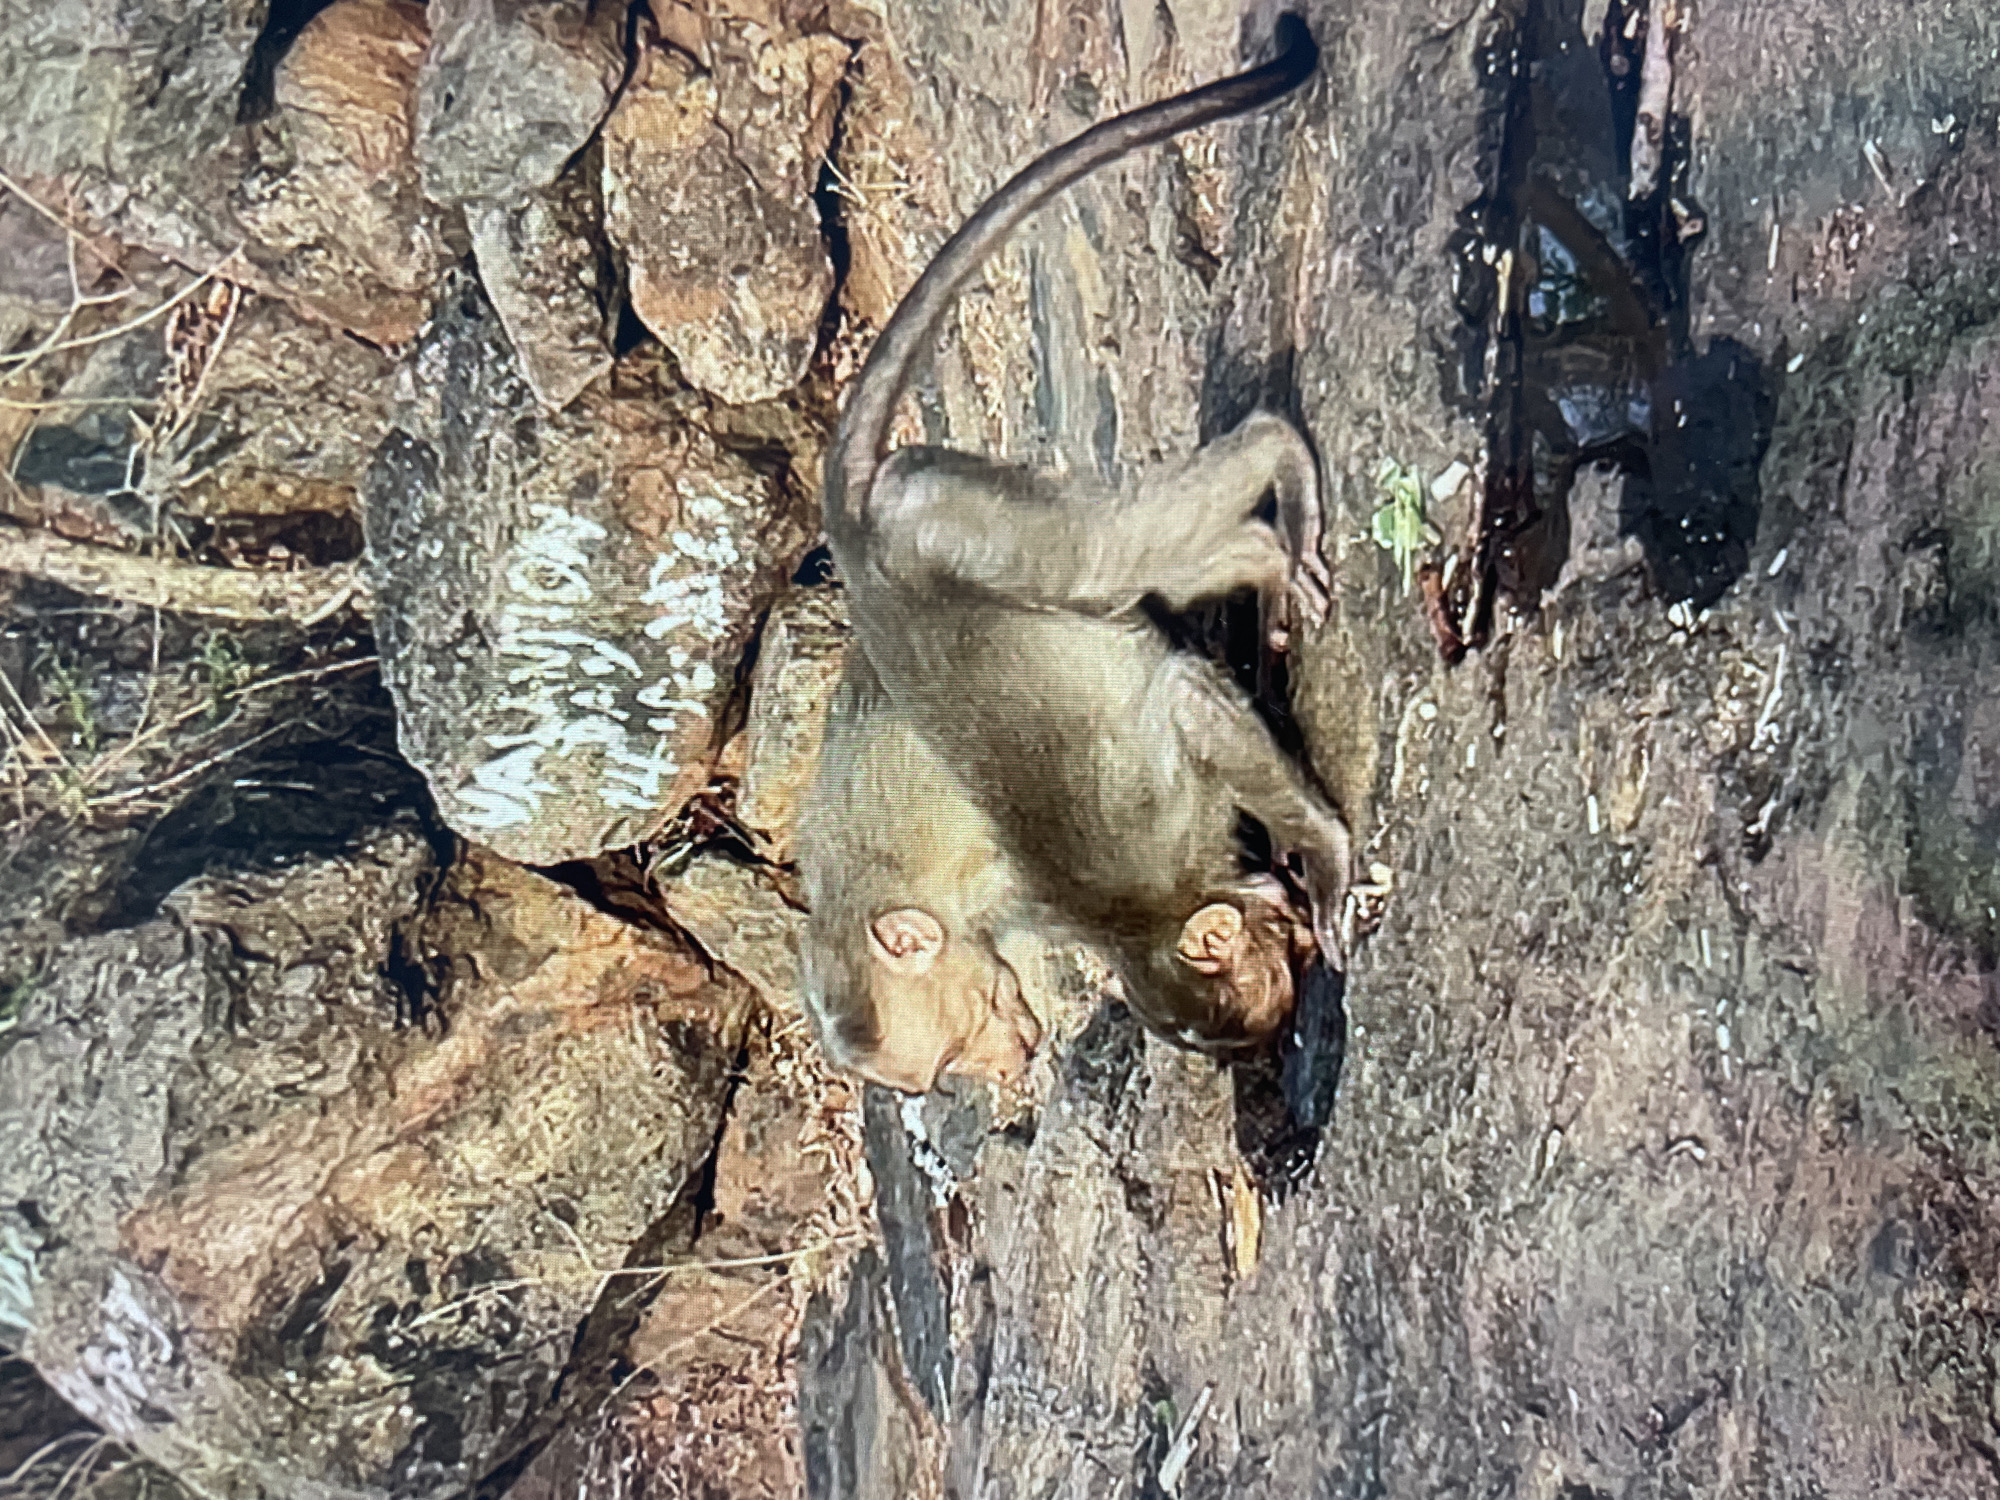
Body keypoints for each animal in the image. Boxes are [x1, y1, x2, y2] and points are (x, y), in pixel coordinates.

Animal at [796, 15, 1349, 1093]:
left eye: (953, 1045)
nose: (994, 1072)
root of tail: (857, 530)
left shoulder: (1091, 854)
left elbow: (1186, 701)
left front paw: (1327, 858)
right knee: (1137, 582)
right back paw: (1262, 556)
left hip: (950, 520)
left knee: (1101, 556)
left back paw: (1278, 460)